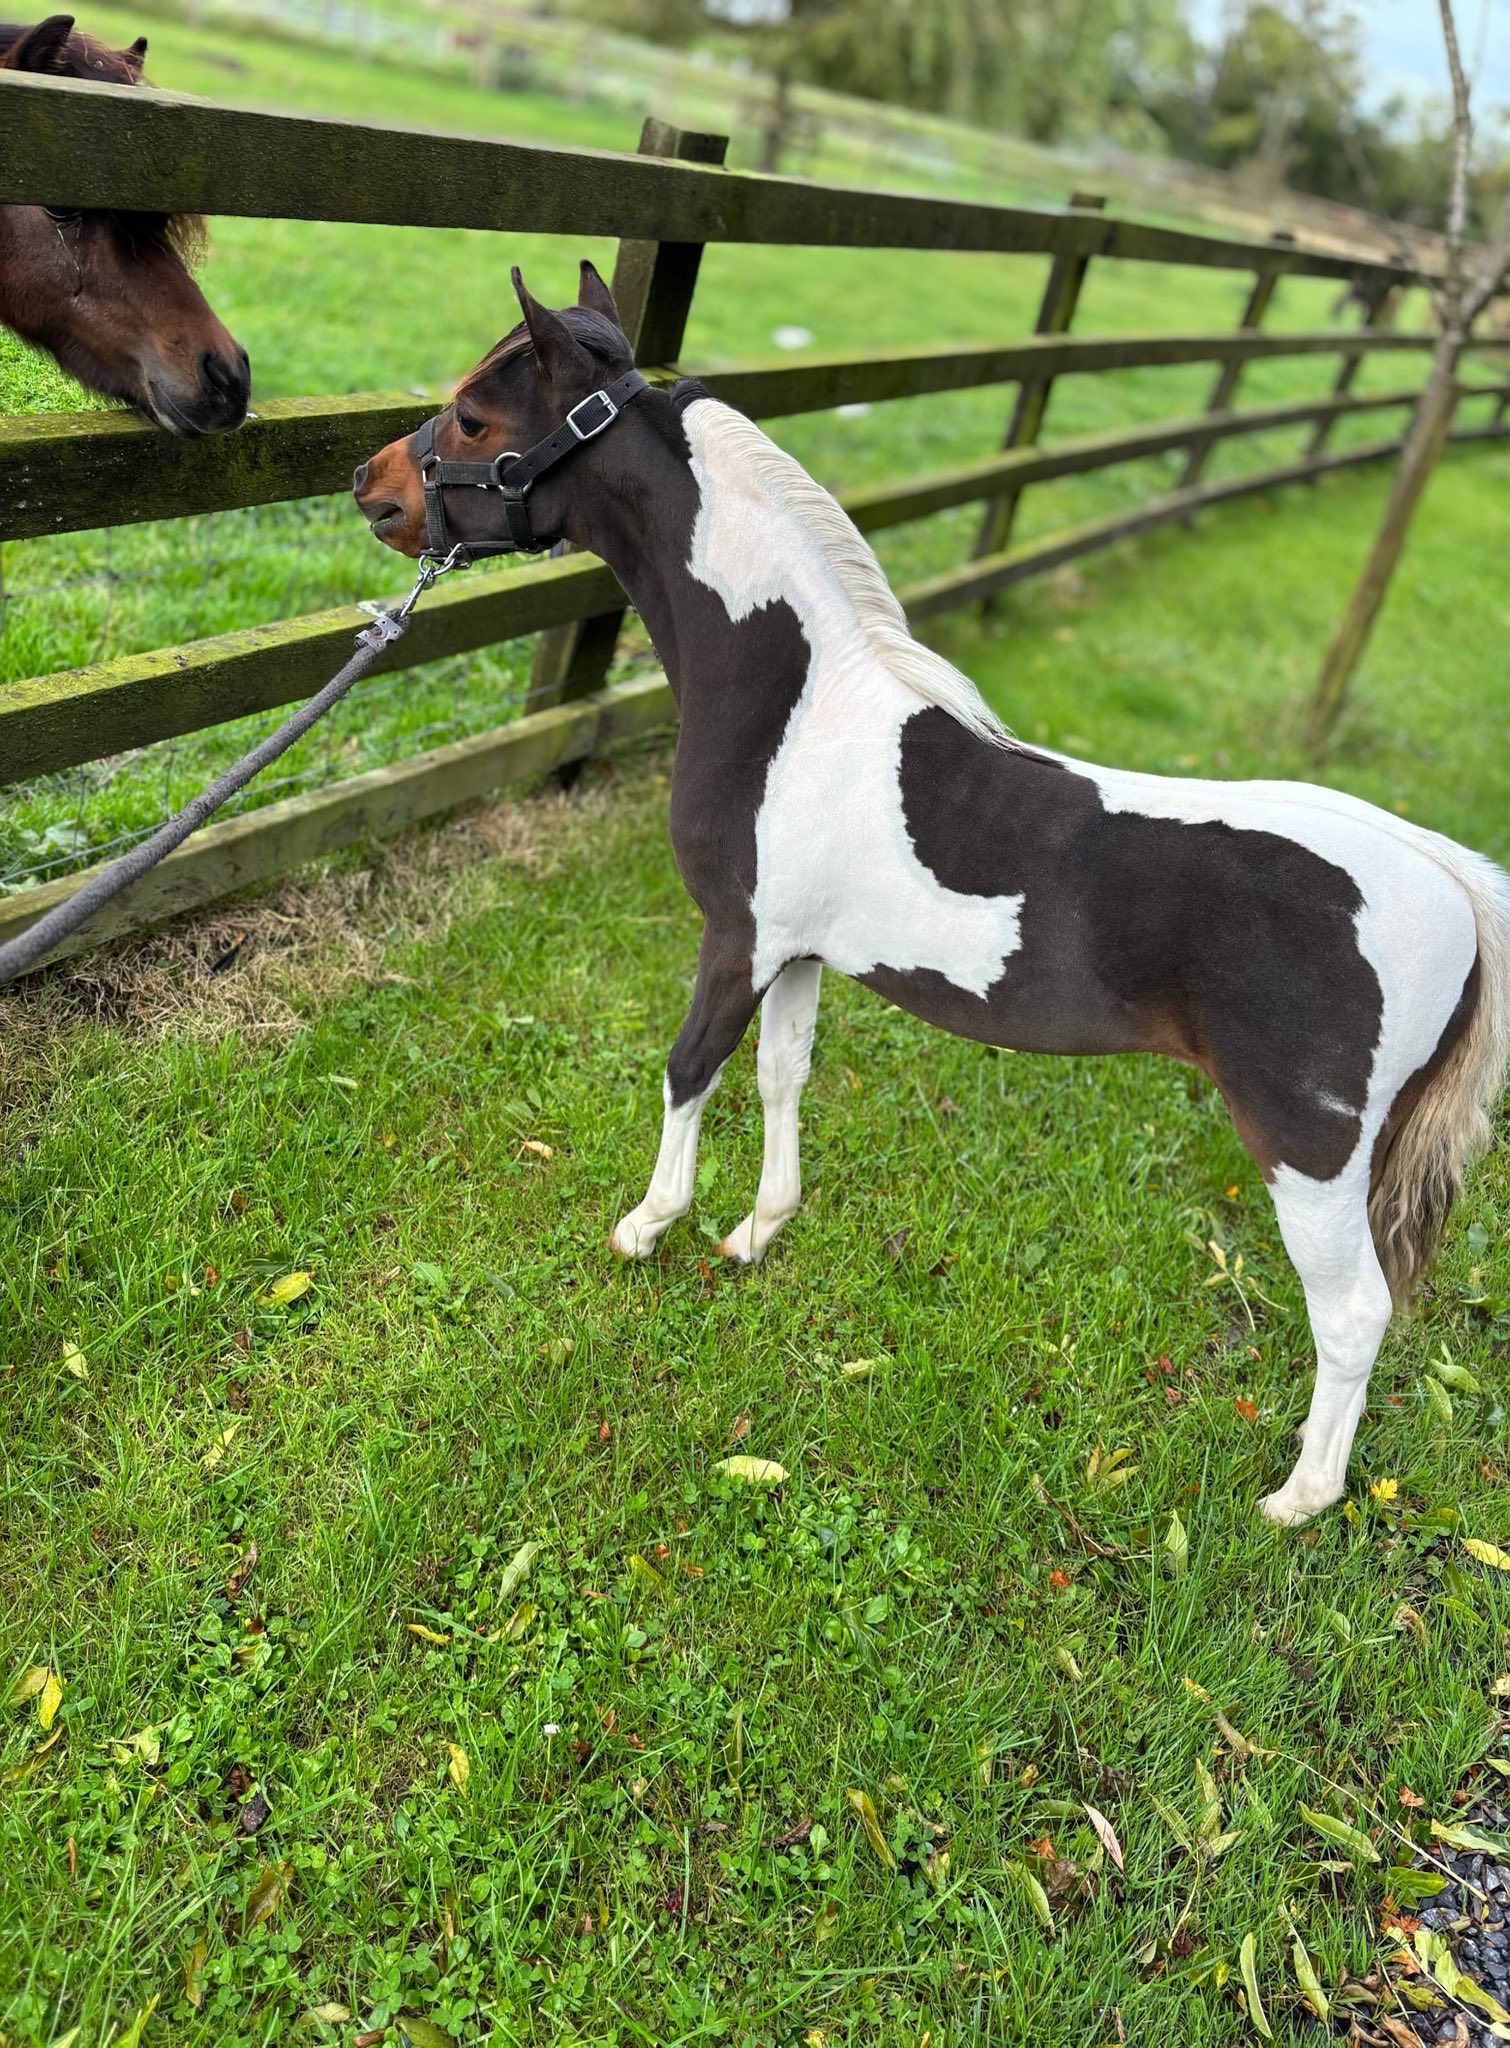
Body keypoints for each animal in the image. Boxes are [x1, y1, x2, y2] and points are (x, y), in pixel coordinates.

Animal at [353, 261, 1510, 1527]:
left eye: (475, 417)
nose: (372, 488)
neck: (795, 705)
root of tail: (1448, 881)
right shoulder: (799, 952)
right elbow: (782, 1074)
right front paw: (755, 1230)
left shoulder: (735, 937)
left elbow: (688, 1068)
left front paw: (647, 1226)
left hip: (1306, 1152)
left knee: (1353, 1312)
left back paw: (1296, 1498)